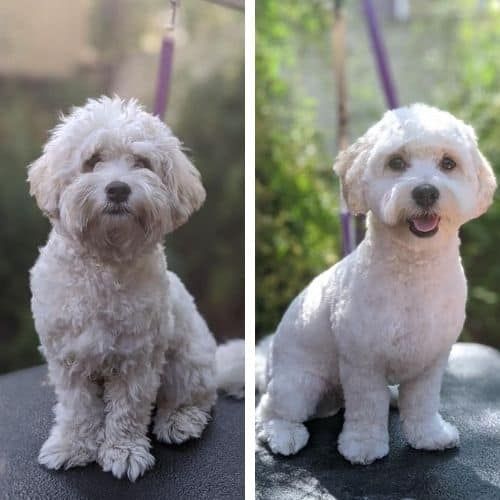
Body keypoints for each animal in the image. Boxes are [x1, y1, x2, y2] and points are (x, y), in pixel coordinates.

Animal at [28, 94, 244, 480]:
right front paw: (72, 446)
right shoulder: (68, 358)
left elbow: (128, 410)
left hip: (186, 362)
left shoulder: (138, 358)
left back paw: (179, 421)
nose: (118, 188)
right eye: (93, 160)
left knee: (193, 400)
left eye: (141, 162)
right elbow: (78, 409)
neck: (105, 264)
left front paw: (123, 452)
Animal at [258, 104, 496, 464]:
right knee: (272, 410)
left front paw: (429, 435)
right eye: (396, 162)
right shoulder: (362, 360)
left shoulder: (431, 359)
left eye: (448, 163)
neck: (414, 270)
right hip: (299, 382)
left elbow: (423, 403)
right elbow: (368, 406)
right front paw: (363, 445)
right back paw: (284, 434)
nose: (426, 191)